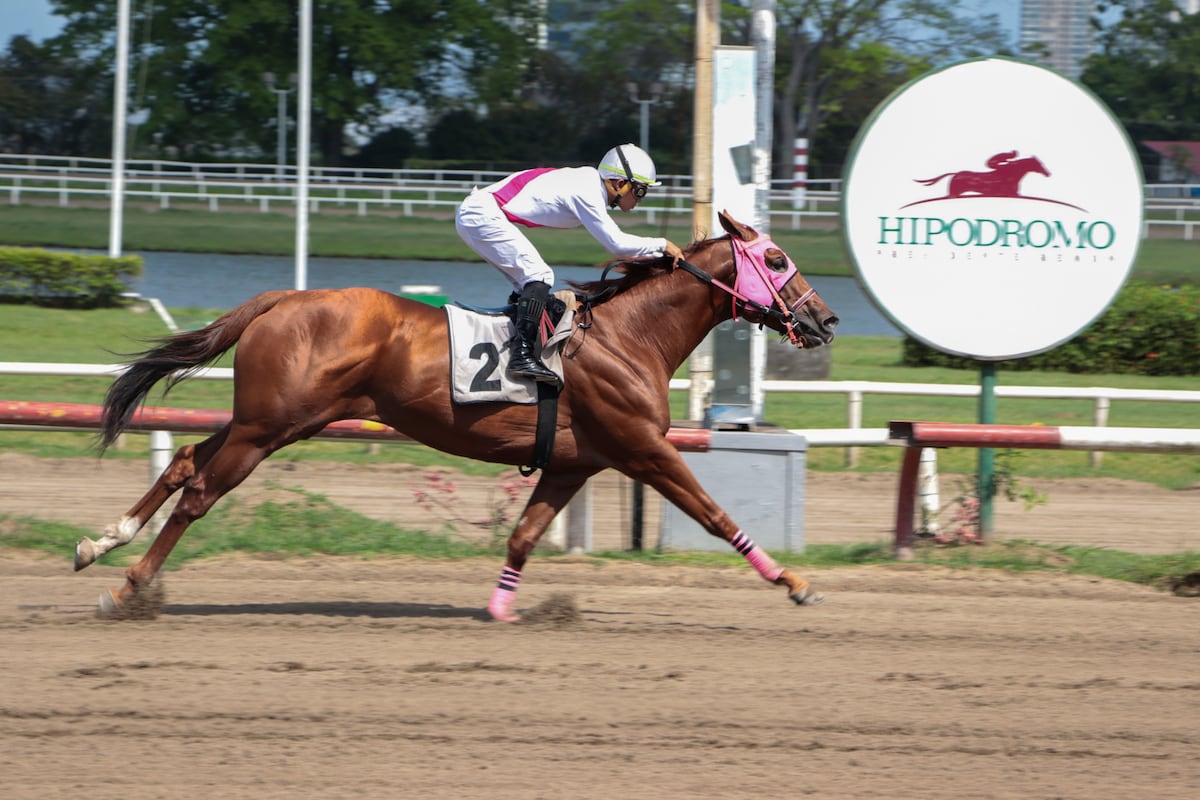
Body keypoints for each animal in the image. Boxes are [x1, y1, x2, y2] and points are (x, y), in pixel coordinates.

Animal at [77, 209, 835, 623]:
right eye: (775, 259)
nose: (825, 320)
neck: (629, 337)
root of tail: (281, 299)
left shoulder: (575, 463)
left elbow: (523, 536)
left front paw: (501, 609)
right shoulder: (644, 448)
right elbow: (715, 514)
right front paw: (795, 584)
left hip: (269, 421)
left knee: (183, 462)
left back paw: (100, 541)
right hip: (269, 428)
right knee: (200, 492)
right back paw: (127, 587)